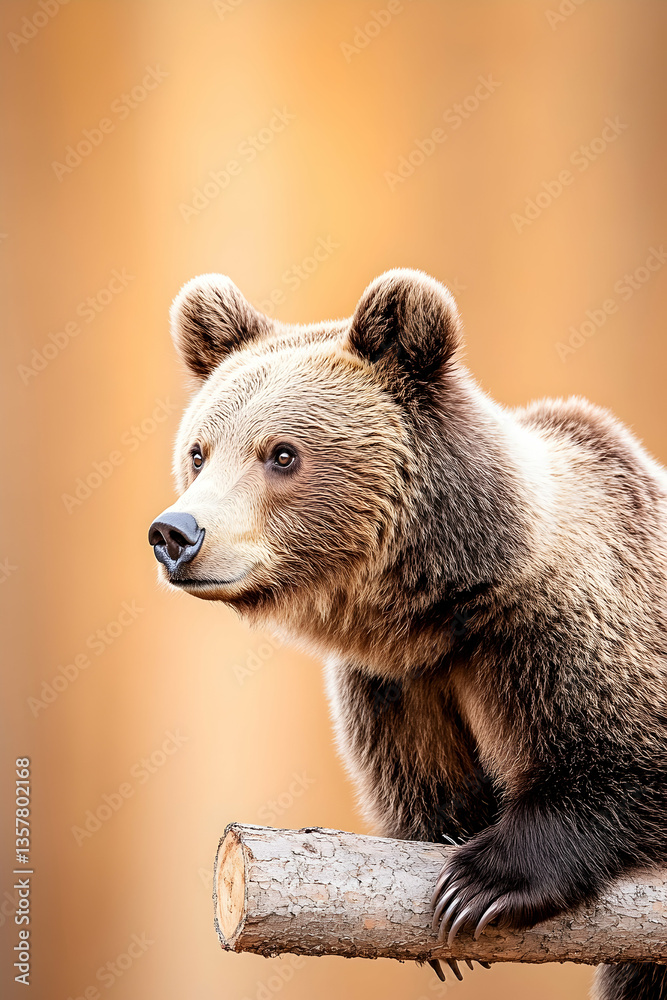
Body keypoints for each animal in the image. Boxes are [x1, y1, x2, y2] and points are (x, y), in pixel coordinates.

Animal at [149, 269, 667, 999]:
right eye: (198, 452)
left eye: (282, 454)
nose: (176, 534)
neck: (448, 605)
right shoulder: (398, 682)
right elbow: (423, 784)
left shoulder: (565, 628)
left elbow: (619, 761)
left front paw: (479, 884)